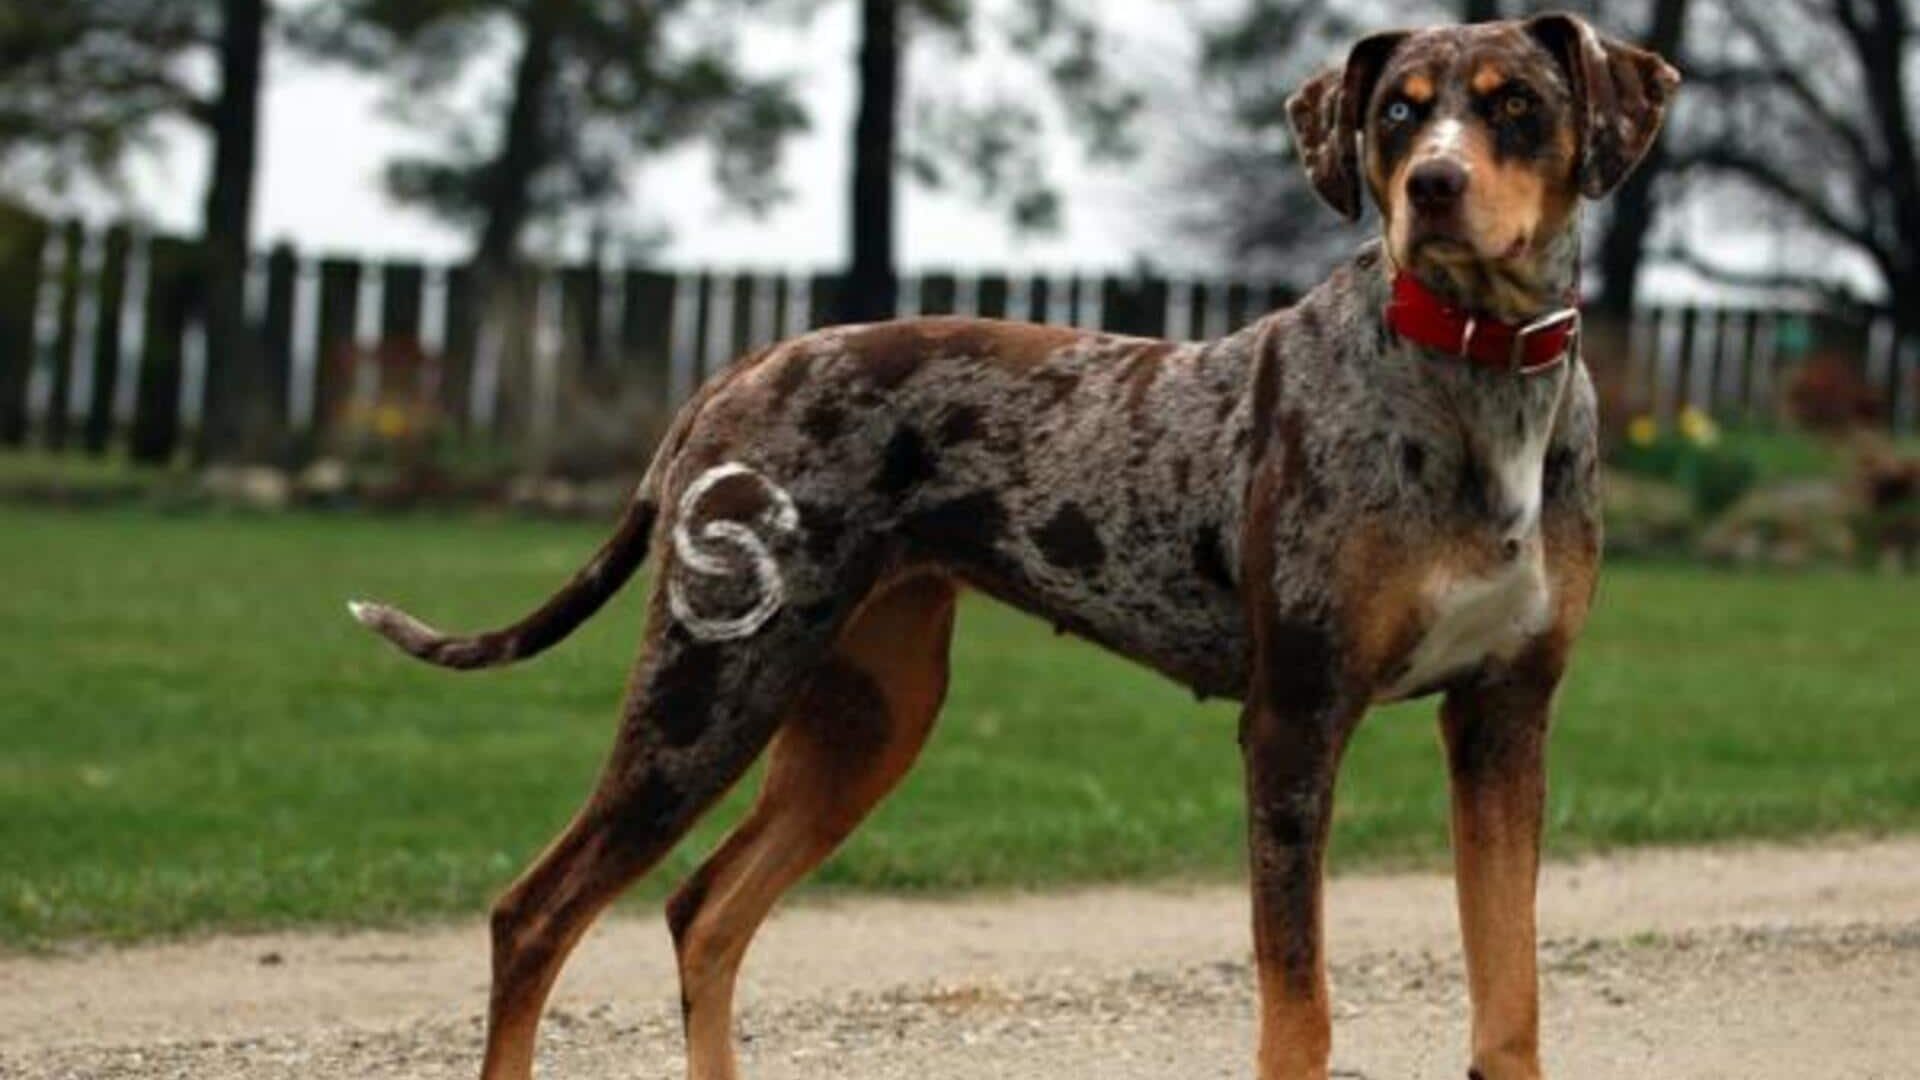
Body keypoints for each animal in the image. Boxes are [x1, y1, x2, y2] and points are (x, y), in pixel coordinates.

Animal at [353, 14, 1674, 1076]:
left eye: (1517, 105)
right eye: (1398, 111)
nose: (1434, 185)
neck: (1475, 371)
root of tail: (739, 369)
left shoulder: (1504, 720)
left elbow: (1510, 996)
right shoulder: (1296, 722)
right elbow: (1298, 1011)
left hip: (867, 718)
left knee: (705, 913)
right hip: (706, 695)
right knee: (535, 914)